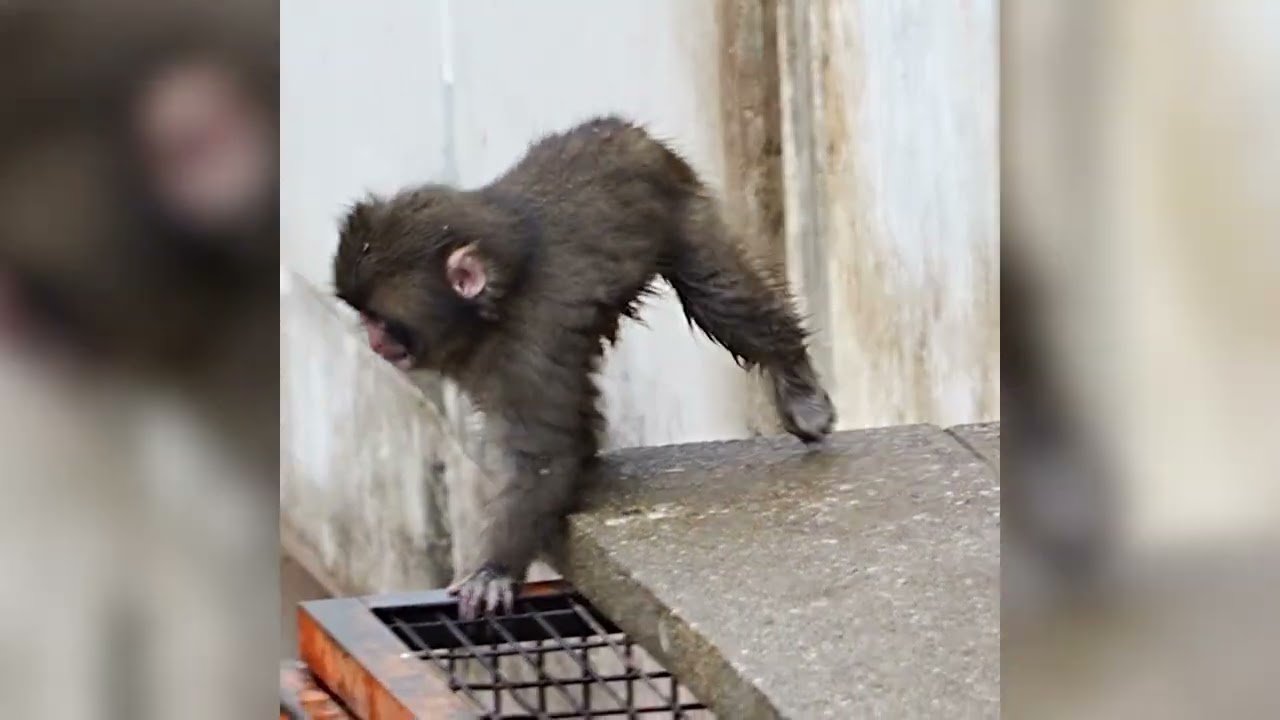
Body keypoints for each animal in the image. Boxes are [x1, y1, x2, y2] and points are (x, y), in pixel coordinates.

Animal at [333, 116, 836, 620]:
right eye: (365, 318)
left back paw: (796, 383)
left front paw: (494, 569)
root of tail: (623, 131)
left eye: (380, 320)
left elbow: (542, 455)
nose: (373, 341)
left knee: (720, 296)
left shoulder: (526, 344)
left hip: (680, 208)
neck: (497, 297)